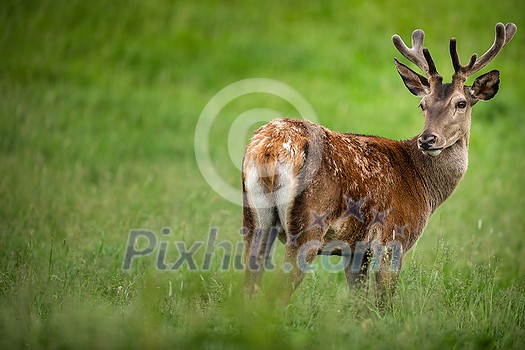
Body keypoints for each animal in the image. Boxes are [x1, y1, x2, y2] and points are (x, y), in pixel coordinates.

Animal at [241, 22, 516, 306]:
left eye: (461, 103)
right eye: (422, 104)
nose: (428, 139)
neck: (423, 186)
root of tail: (270, 148)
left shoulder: (355, 250)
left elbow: (359, 305)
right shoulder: (394, 238)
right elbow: (384, 302)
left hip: (254, 218)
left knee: (248, 285)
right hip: (308, 224)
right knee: (275, 293)